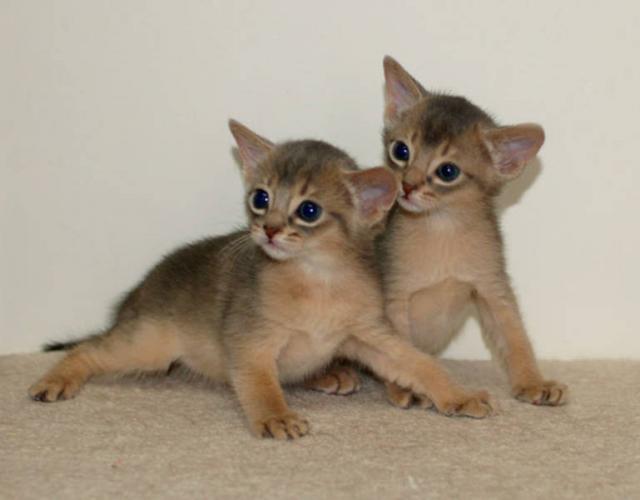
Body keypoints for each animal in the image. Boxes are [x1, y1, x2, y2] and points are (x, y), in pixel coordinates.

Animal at [28, 120, 496, 438]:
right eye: (260, 197)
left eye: (308, 210)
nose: (267, 230)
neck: (318, 282)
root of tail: (138, 292)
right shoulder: (250, 341)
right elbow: (259, 384)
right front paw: (275, 416)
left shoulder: (370, 334)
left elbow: (419, 363)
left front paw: (458, 395)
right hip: (150, 345)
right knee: (88, 349)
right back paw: (55, 380)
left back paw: (329, 375)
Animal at [376, 56, 568, 408]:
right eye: (401, 151)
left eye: (447, 171)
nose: (407, 185)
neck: (441, 228)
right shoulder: (394, 296)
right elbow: (400, 350)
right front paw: (404, 389)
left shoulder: (493, 287)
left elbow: (515, 336)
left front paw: (534, 382)